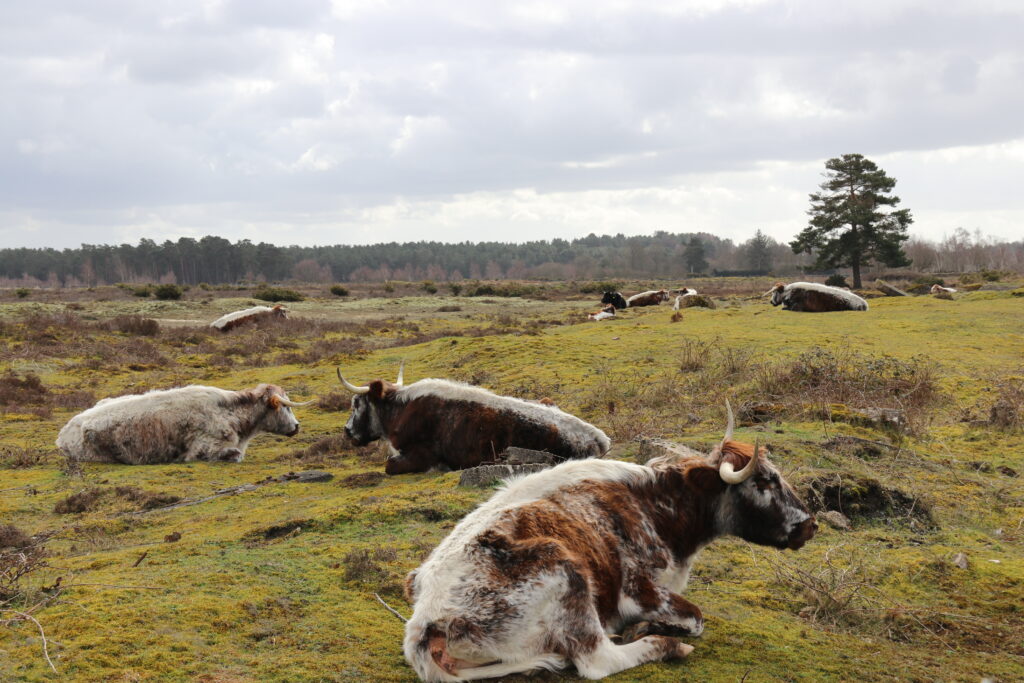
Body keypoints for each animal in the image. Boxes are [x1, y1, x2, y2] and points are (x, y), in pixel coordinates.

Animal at [403, 403, 819, 679]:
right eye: (765, 480)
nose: (810, 525)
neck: (656, 507)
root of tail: (425, 629)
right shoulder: (639, 590)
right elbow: (696, 618)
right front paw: (651, 628)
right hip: (567, 575)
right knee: (597, 661)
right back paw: (664, 645)